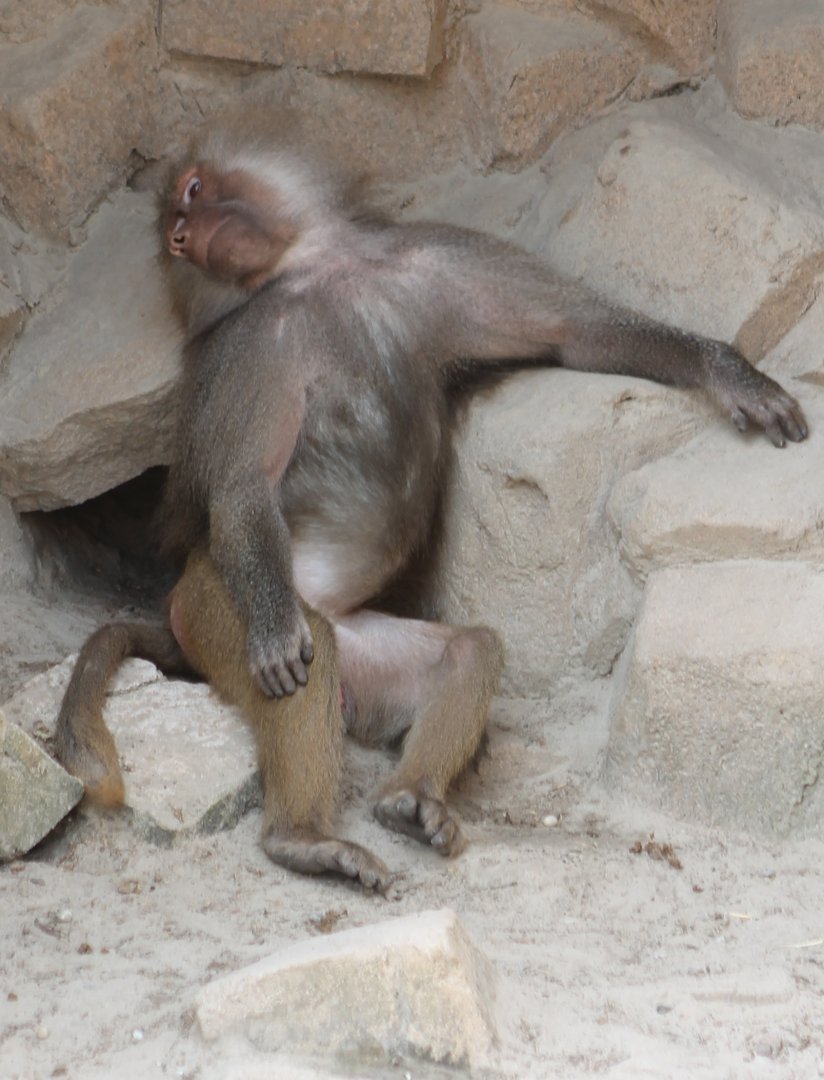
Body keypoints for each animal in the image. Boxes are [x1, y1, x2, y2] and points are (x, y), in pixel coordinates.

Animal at [56, 115, 807, 891]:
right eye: (175, 232)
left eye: (192, 193)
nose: (186, 237)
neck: (319, 268)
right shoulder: (250, 347)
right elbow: (242, 485)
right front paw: (271, 636)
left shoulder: (441, 259)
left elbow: (579, 332)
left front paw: (732, 376)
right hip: (212, 601)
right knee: (303, 655)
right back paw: (304, 838)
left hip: (361, 657)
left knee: (466, 652)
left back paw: (411, 801)